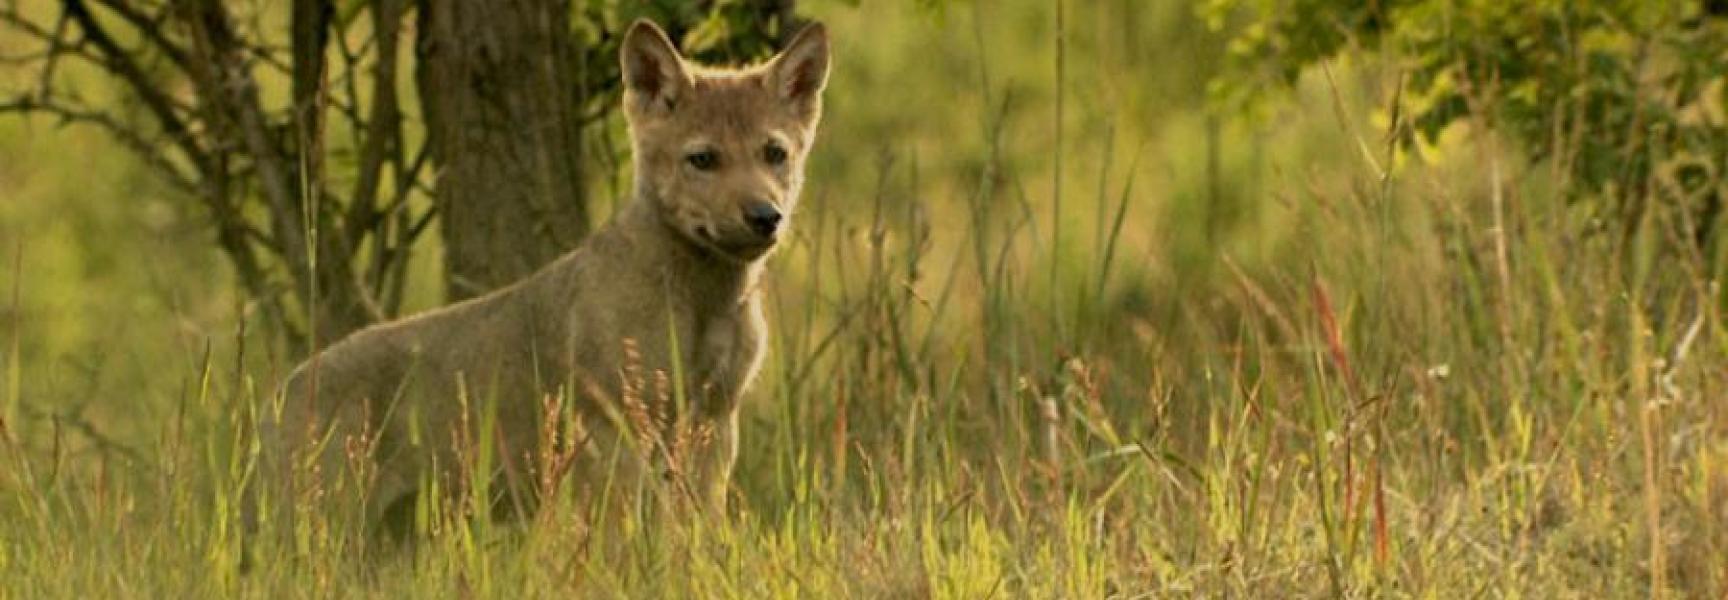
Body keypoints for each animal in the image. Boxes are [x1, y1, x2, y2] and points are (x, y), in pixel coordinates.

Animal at [256, 19, 830, 531]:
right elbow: (625, 541)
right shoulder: (614, 427)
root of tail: (277, 398)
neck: (707, 301)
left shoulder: (715, 419)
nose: (765, 216)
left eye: (774, 153)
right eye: (703, 158)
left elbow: (697, 533)